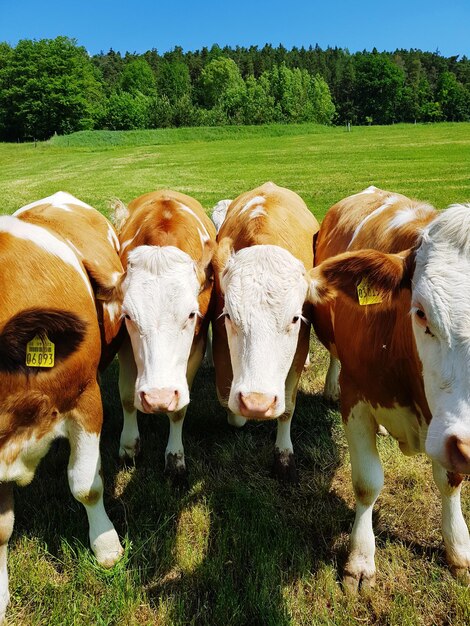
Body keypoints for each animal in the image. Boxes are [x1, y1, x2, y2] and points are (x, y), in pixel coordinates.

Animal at [107, 189, 216, 478]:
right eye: (128, 316)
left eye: (191, 315)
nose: (158, 398)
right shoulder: (126, 346)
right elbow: (127, 396)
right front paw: (129, 446)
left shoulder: (196, 345)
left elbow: (179, 410)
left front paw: (175, 457)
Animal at [212, 180, 320, 478]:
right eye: (229, 316)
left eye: (295, 319)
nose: (257, 402)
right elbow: (230, 407)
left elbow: (287, 407)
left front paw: (283, 455)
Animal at [308, 188, 470, 588]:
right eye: (422, 312)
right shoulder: (356, 397)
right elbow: (367, 482)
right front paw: (360, 558)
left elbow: (451, 480)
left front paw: (458, 548)